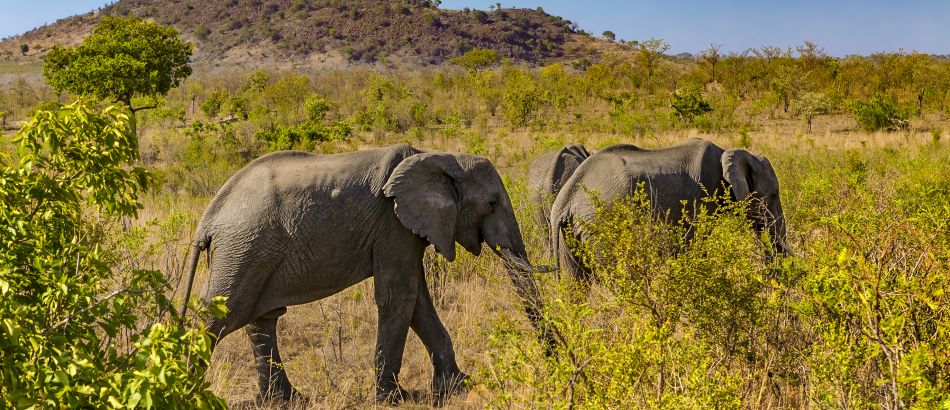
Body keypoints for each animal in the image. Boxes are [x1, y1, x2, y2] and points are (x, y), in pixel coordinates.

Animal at [179, 143, 556, 404]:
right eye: (491, 203)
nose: (551, 358)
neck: (440, 156)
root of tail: (208, 217)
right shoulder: (392, 223)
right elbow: (399, 296)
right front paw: (392, 398)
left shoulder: (406, 229)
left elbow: (417, 301)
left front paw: (458, 386)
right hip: (244, 248)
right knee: (219, 317)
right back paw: (185, 391)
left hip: (252, 251)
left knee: (262, 319)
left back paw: (287, 400)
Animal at [548, 138, 792, 278]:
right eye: (773, 194)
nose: (772, 264)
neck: (728, 152)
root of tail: (565, 200)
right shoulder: (703, 195)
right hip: (601, 224)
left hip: (570, 232)